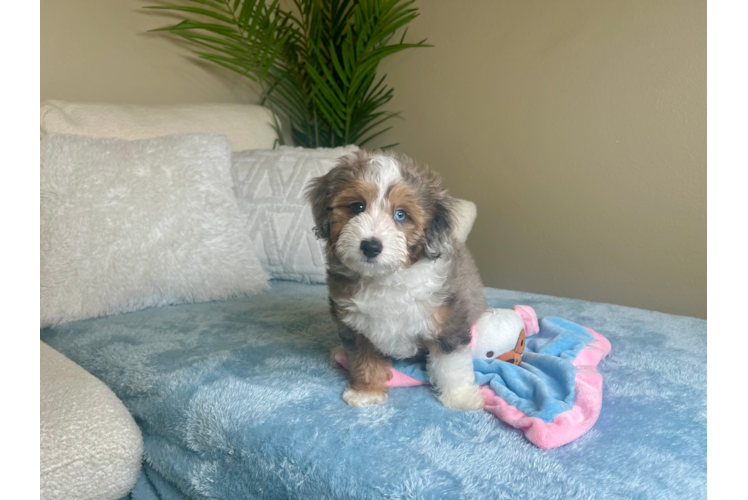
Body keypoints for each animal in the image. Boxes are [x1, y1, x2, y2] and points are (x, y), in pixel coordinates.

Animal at [304, 150, 486, 408]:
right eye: (357, 207)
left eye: (401, 215)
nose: (370, 246)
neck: (385, 278)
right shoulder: (357, 326)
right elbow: (364, 359)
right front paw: (367, 392)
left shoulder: (447, 319)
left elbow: (451, 362)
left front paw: (460, 398)